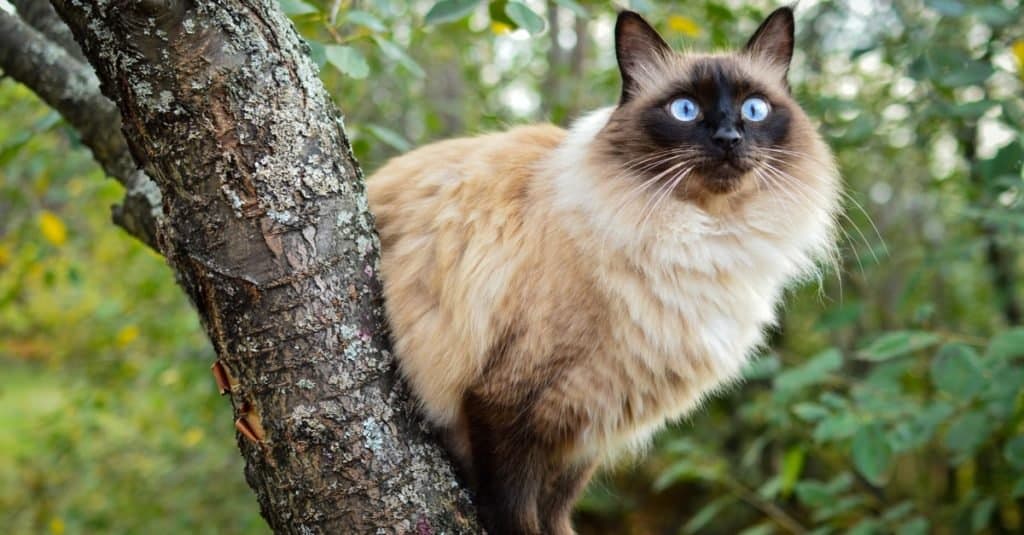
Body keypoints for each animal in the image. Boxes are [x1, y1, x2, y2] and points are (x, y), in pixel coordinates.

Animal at [368, 7, 839, 532]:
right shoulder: (509, 402)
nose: (728, 138)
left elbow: (555, 509)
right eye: (684, 110)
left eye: (754, 109)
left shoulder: (587, 420)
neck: (707, 239)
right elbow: (516, 509)